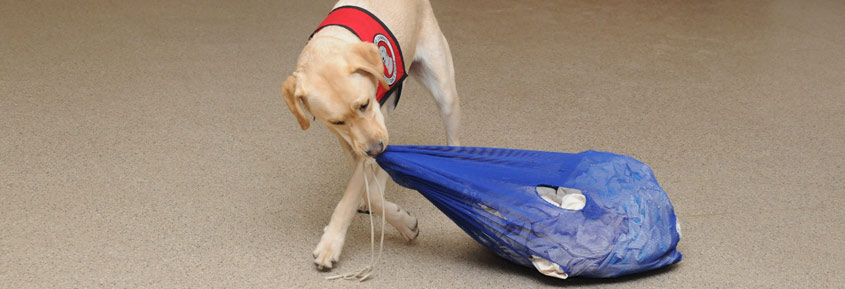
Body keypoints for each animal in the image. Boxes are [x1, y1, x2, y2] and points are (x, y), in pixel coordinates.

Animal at [280, 0, 458, 270]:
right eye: (337, 121)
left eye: (364, 104)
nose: (375, 148)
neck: (326, 47)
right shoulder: (349, 141)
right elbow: (368, 190)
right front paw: (399, 219)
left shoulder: (373, 135)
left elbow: (354, 195)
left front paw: (331, 244)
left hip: (443, 90)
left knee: (452, 134)